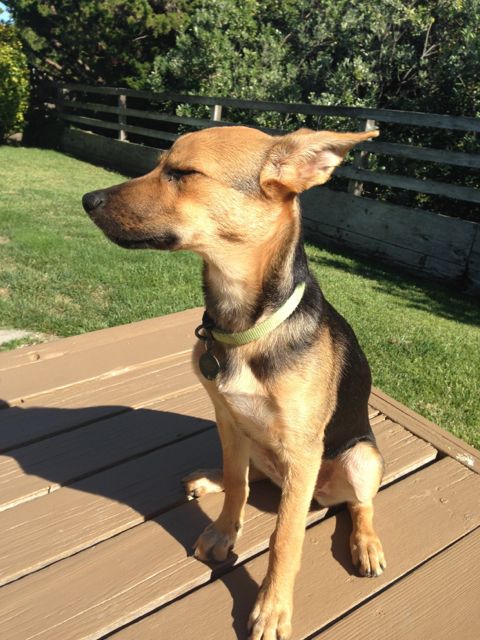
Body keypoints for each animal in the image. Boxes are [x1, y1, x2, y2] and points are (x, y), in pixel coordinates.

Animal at [82, 125, 385, 640]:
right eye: (159, 165)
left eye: (182, 173)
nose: (87, 199)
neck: (245, 325)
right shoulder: (227, 418)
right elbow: (238, 485)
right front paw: (224, 532)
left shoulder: (303, 449)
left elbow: (285, 538)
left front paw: (272, 608)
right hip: (257, 445)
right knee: (247, 475)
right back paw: (208, 480)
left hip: (360, 456)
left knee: (360, 504)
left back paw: (366, 543)